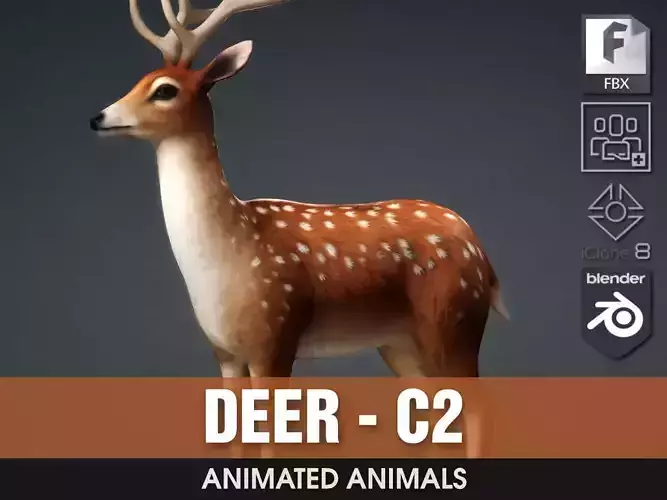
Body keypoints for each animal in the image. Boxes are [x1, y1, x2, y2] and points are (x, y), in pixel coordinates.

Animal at [90, 0, 510, 458]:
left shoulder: (276, 334)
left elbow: (272, 437)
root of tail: (482, 254)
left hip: (453, 318)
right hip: (400, 340)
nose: (98, 117)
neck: (232, 250)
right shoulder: (225, 352)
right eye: (138, 79)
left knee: (479, 407)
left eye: (165, 90)